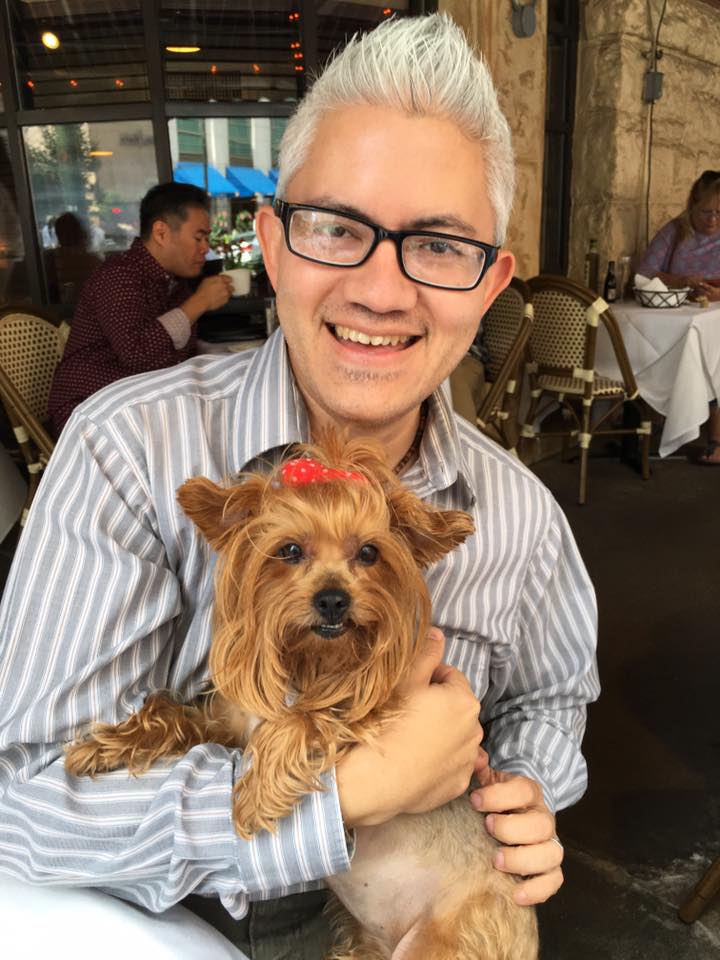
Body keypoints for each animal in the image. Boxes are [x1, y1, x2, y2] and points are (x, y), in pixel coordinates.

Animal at [65, 436, 539, 960]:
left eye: (369, 552)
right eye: (289, 550)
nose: (333, 599)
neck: (308, 664)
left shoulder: (375, 702)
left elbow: (308, 717)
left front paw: (252, 799)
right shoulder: (229, 726)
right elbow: (174, 713)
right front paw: (106, 744)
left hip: (451, 939)